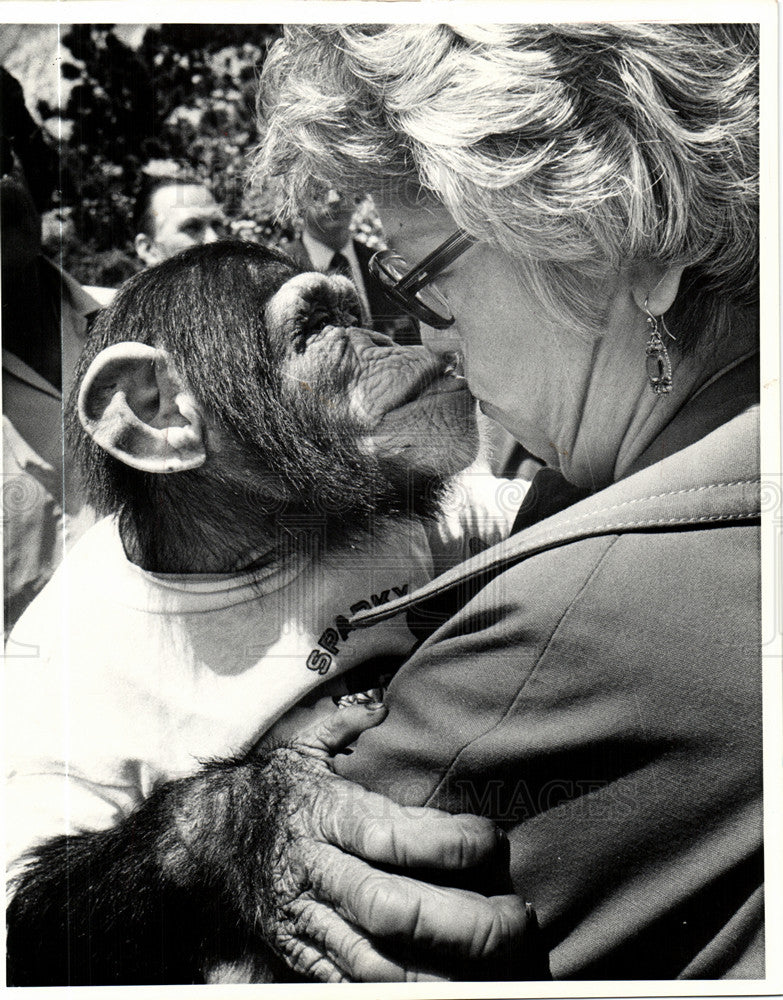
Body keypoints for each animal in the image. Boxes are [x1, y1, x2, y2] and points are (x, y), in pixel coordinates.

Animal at [4, 240, 528, 984]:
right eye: (316, 328)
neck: (231, 559)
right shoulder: (45, 704)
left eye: (348, 313)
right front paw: (270, 824)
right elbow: (28, 914)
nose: (382, 338)